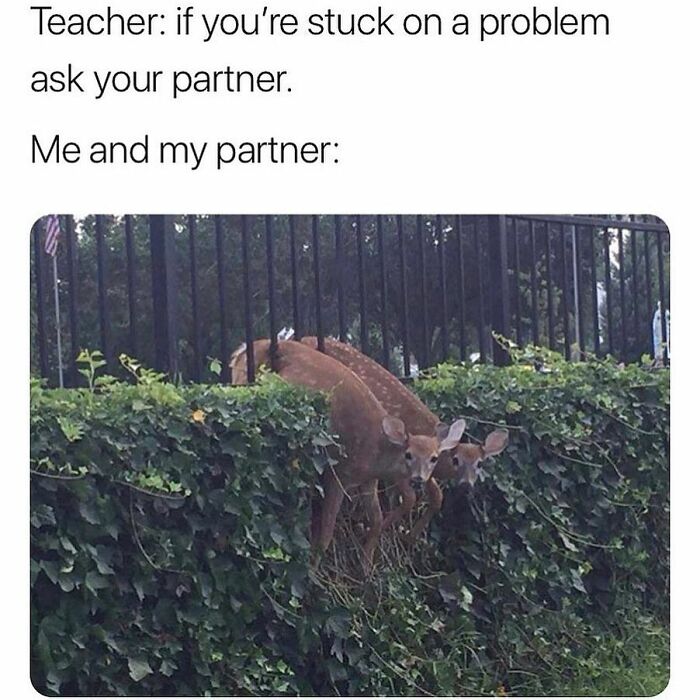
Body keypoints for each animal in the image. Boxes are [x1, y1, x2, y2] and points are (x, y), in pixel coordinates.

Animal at [229, 339, 466, 569]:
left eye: (433, 458)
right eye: (409, 455)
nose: (418, 478)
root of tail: (240, 352)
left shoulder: (368, 481)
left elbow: (378, 518)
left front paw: (366, 567)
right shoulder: (338, 475)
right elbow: (326, 534)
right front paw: (313, 572)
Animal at [299, 337, 509, 539]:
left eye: (480, 463)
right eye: (456, 460)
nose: (466, 485)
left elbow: (436, 495)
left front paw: (411, 535)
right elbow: (410, 497)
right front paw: (385, 531)